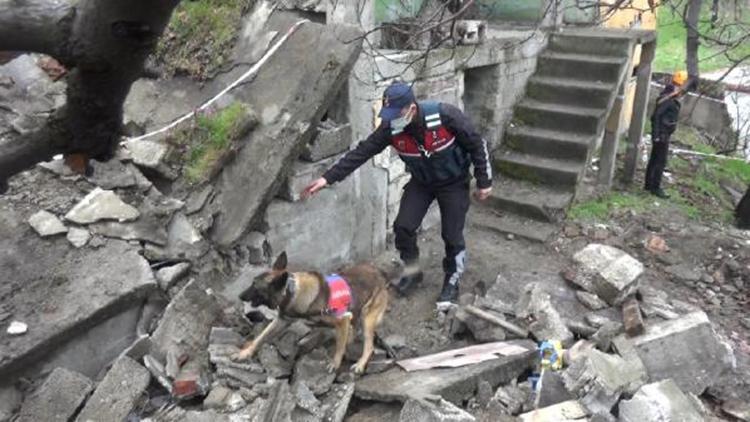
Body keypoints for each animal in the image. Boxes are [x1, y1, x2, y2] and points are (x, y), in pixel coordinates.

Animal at [232, 251, 390, 372]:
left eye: (255, 286)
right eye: (252, 282)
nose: (239, 296)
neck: (291, 292)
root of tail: (378, 272)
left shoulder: (343, 319)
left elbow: (339, 347)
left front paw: (335, 363)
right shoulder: (282, 321)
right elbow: (261, 337)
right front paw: (245, 352)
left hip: (367, 319)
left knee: (369, 345)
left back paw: (360, 364)